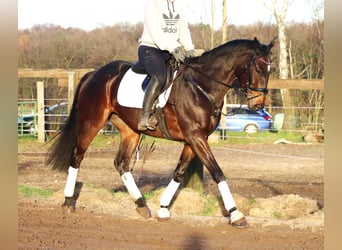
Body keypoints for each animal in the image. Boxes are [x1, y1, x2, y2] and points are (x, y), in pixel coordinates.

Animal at [46, 37, 276, 229]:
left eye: (270, 70)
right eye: (257, 68)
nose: (258, 105)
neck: (201, 86)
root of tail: (93, 74)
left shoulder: (193, 139)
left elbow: (179, 172)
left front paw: (164, 208)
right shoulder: (195, 136)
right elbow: (217, 171)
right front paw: (236, 214)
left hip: (130, 131)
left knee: (121, 163)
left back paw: (141, 205)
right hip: (92, 122)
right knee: (77, 156)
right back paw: (68, 202)